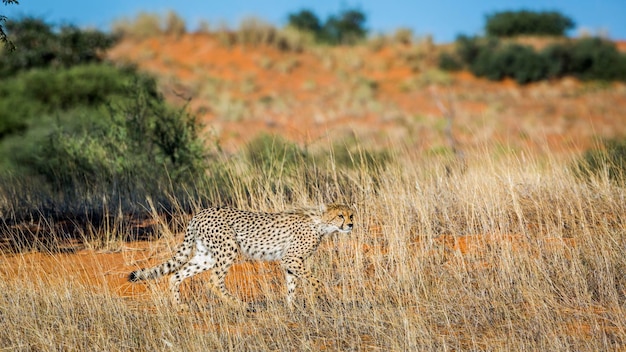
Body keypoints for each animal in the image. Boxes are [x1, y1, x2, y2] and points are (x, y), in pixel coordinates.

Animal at [128, 204, 352, 308]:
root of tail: (200, 213)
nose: (351, 224)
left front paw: (292, 307)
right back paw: (240, 305)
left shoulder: (290, 261)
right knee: (213, 281)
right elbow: (314, 280)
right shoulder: (291, 258)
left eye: (351, 215)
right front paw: (319, 296)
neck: (321, 223)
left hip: (206, 256)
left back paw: (179, 307)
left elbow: (291, 285)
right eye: (340, 215)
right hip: (228, 248)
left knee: (176, 275)